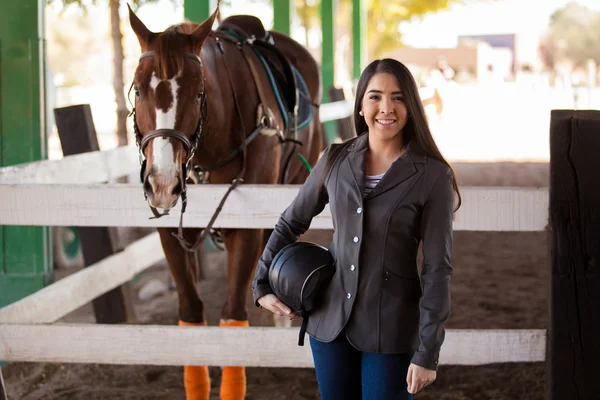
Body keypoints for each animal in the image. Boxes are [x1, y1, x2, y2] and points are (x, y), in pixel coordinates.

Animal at [127, 6, 324, 400]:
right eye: (138, 90)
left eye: (199, 92)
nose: (162, 183)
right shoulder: (172, 234)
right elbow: (191, 312)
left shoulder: (244, 229)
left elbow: (232, 314)